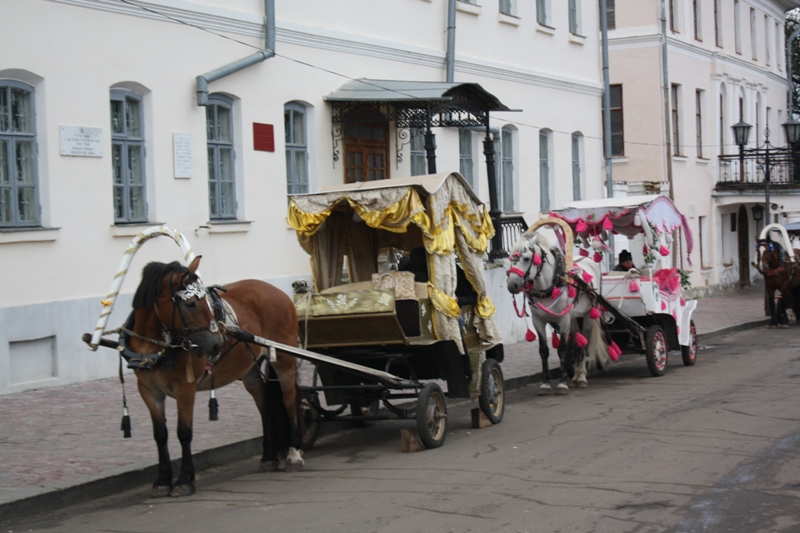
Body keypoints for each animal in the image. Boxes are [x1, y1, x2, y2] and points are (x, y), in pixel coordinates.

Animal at [125, 256, 304, 496]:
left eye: (204, 302)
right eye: (190, 304)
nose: (217, 343)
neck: (154, 347)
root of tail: (277, 291)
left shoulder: (185, 388)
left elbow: (184, 432)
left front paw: (184, 480)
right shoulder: (148, 391)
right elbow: (160, 434)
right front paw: (162, 481)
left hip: (283, 359)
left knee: (289, 400)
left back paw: (294, 454)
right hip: (250, 370)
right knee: (265, 406)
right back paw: (268, 458)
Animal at [506, 231, 608, 392]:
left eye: (527, 258)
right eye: (511, 258)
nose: (512, 285)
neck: (550, 285)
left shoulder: (563, 319)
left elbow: (563, 350)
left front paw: (562, 383)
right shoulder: (538, 320)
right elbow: (544, 350)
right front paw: (546, 383)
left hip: (588, 315)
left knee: (583, 344)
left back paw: (581, 377)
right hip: (573, 319)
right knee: (576, 343)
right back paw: (575, 377)